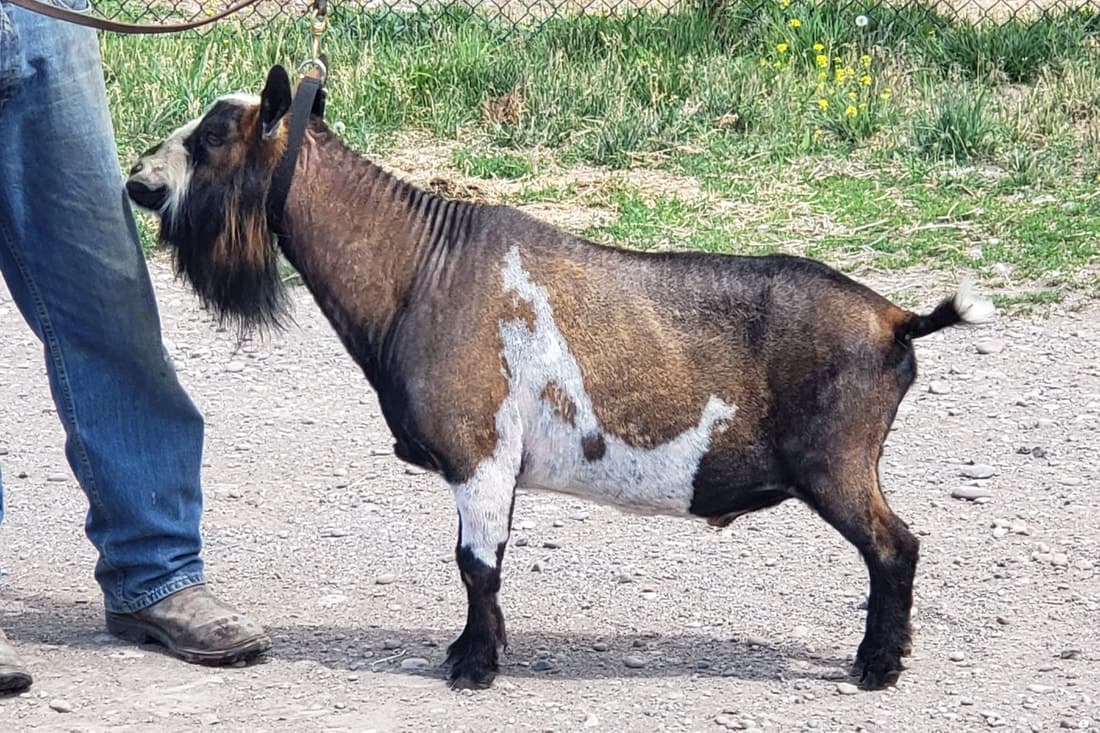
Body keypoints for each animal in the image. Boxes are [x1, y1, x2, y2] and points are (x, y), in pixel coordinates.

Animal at [126, 65, 995, 691]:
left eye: (210, 136)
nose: (137, 180)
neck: (419, 265)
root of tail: (895, 321)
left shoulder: (479, 452)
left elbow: (475, 564)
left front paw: (473, 666)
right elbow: (481, 566)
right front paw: (475, 652)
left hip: (836, 461)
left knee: (895, 546)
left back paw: (877, 665)